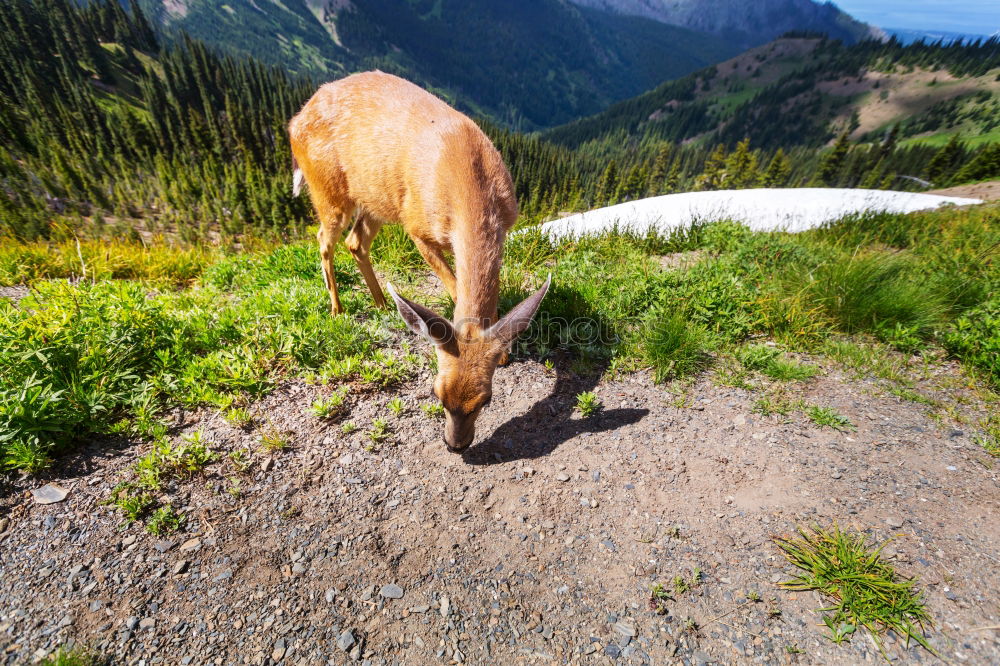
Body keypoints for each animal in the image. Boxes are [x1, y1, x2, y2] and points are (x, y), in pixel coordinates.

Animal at [290, 71, 552, 452]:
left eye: (486, 400)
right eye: (436, 394)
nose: (456, 445)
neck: (469, 181)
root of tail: (295, 120)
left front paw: (501, 349)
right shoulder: (416, 227)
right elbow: (455, 286)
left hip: (376, 199)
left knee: (356, 242)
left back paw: (383, 303)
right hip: (328, 190)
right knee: (324, 239)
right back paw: (337, 309)